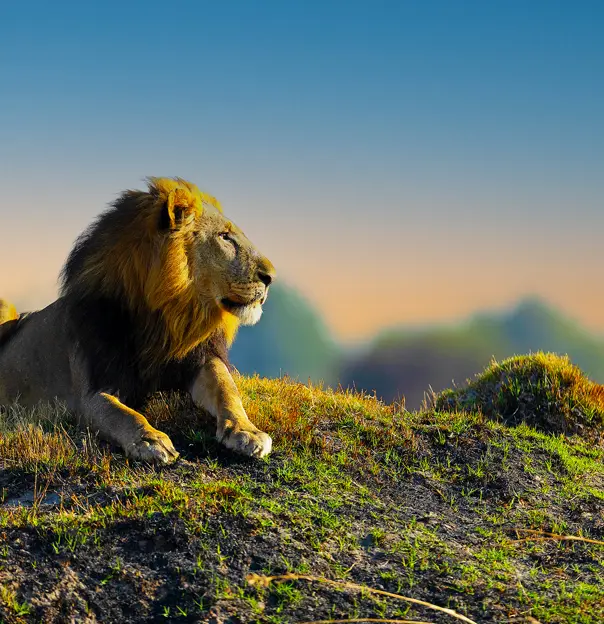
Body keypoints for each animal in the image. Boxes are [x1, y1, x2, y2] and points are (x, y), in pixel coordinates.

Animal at [0, 178, 276, 460]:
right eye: (224, 237)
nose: (270, 277)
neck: (163, 317)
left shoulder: (200, 360)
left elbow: (226, 390)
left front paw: (246, 431)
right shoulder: (90, 391)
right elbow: (120, 414)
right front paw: (149, 439)